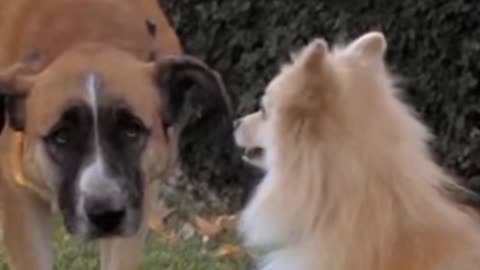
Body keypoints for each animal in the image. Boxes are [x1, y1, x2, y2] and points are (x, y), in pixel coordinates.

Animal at [0, 1, 231, 268]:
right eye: (62, 136)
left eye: (132, 130)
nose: (105, 215)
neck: (88, 33)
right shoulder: (18, 200)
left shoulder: (140, 198)